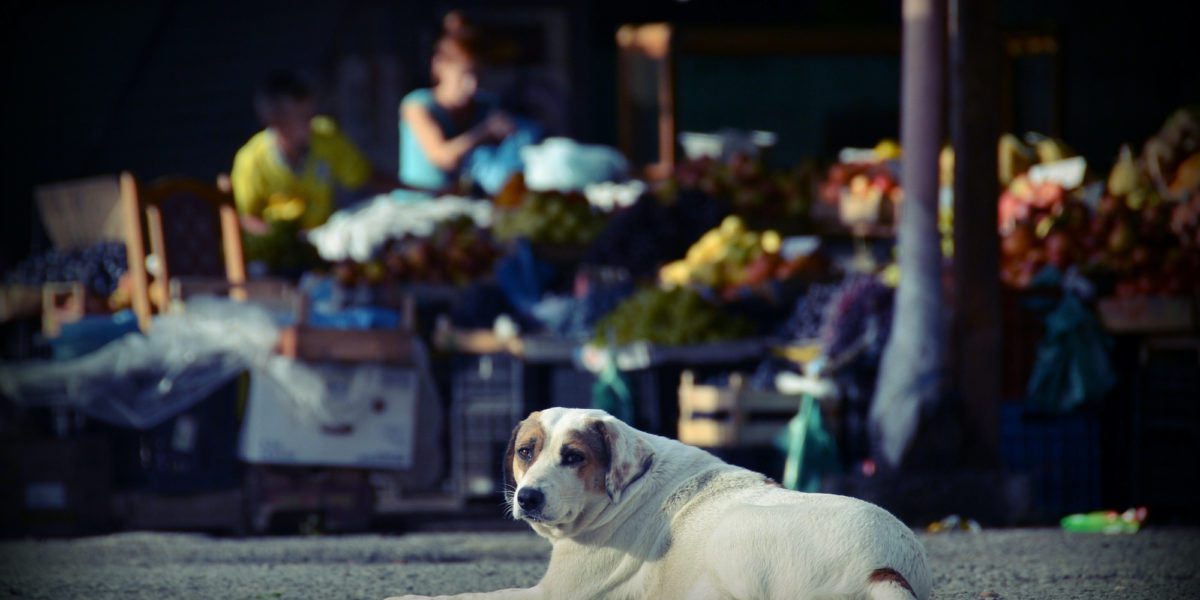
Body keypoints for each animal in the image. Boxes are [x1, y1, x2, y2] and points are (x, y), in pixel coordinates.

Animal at [388, 405, 931, 597]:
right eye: (526, 452)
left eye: (573, 456)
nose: (528, 497)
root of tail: (886, 567)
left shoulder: (553, 594)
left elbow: (468, 597)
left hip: (735, 532)